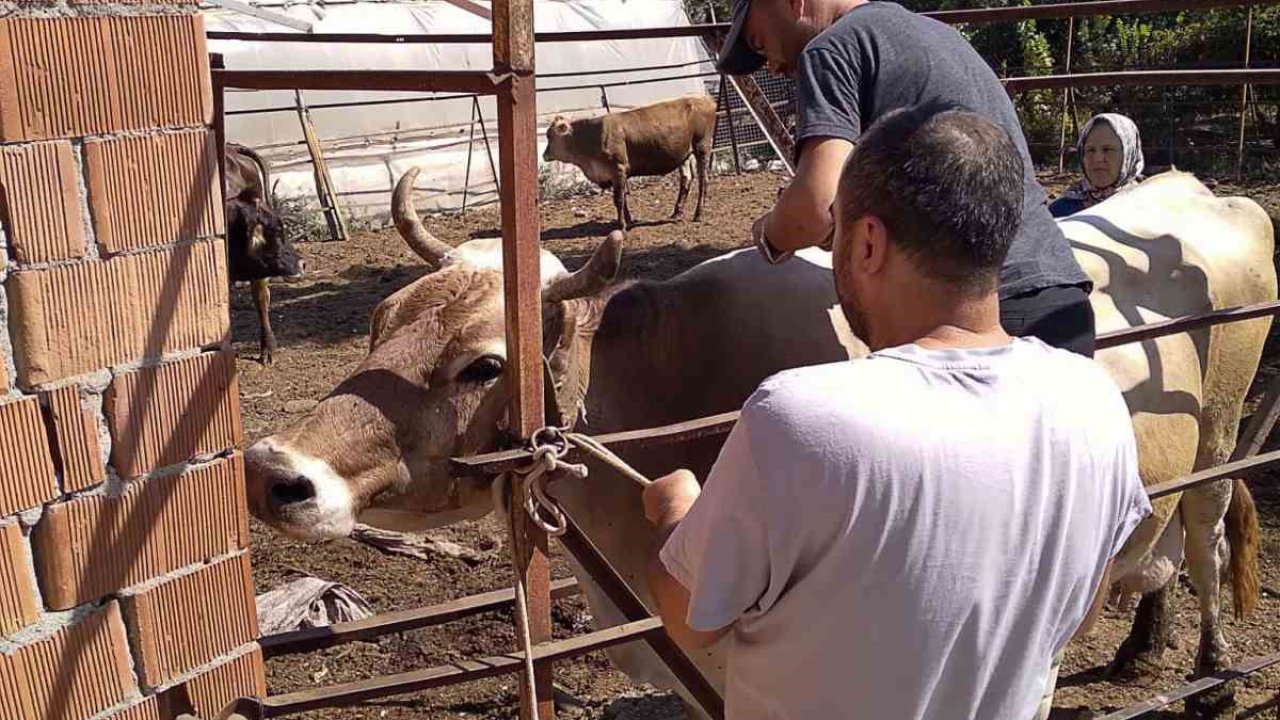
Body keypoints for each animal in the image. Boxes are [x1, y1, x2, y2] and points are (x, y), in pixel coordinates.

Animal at [244, 166, 1274, 712]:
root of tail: (1202, 188)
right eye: (380, 321)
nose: (272, 472)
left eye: (483, 364)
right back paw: (1143, 644)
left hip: (1221, 444)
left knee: (1209, 539)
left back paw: (1212, 671)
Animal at [542, 94, 721, 229]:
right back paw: (677, 212)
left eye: (550, 136)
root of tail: (705, 99)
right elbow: (622, 198)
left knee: (703, 181)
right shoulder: (615, 175)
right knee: (686, 179)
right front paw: (628, 220)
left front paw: (621, 225)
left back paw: (698, 214)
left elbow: (619, 199)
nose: (544, 155)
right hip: (684, 154)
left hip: (702, 147)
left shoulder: (618, 169)